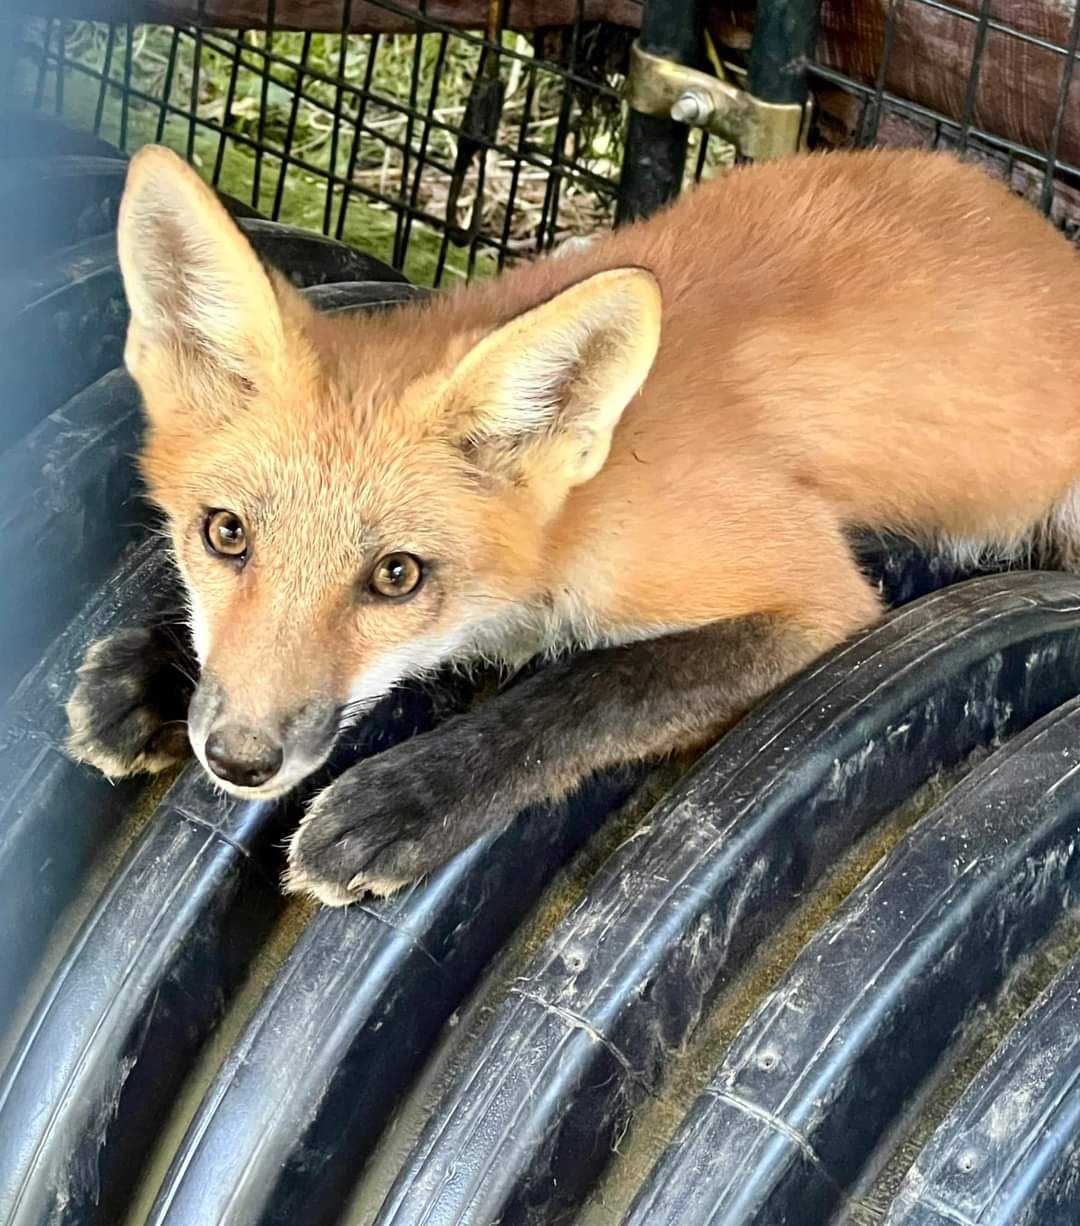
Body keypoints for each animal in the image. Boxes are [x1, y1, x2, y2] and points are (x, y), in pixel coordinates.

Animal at [66, 143, 1080, 907]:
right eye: (225, 534)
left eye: (396, 576)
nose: (239, 759)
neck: (583, 510)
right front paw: (151, 669)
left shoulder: (815, 597)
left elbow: (593, 689)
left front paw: (411, 797)